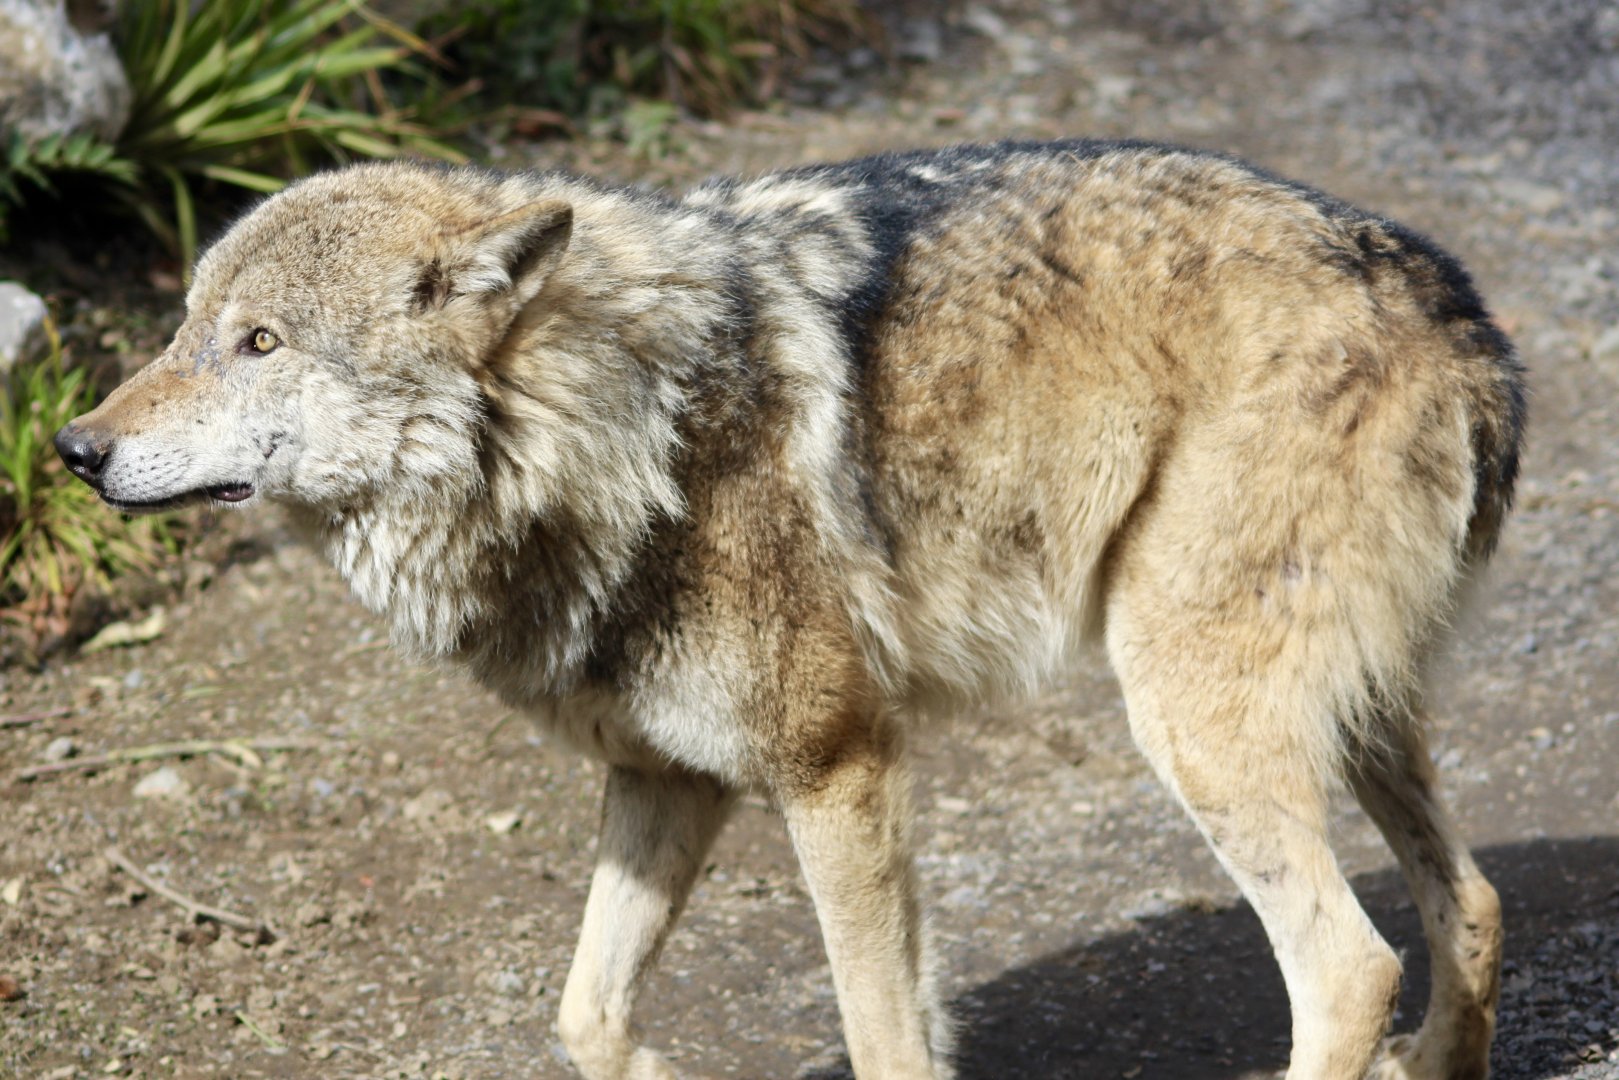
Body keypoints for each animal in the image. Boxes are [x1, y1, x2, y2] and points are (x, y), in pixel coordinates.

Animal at [56, 139, 1524, 1079]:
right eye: (180, 327)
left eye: (258, 343)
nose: (70, 448)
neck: (620, 426)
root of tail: (1458, 310)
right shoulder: (666, 780)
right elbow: (585, 1017)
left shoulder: (838, 767)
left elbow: (882, 1037)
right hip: (1345, 720)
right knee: (1467, 901)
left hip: (1190, 720)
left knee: (1351, 968)